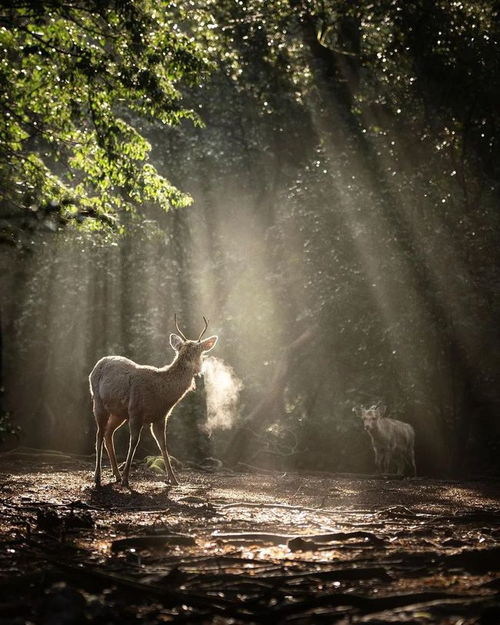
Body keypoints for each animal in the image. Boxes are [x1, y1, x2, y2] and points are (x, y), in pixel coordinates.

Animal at [89, 316, 217, 488]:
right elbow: (134, 442)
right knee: (99, 434)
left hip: (119, 413)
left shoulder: (161, 417)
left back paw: (116, 474)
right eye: (199, 353)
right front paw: (126, 479)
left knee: (108, 433)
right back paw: (98, 477)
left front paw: (173, 479)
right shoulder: (136, 411)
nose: (199, 369)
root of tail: (98, 364)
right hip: (98, 401)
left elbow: (163, 445)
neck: (162, 395)